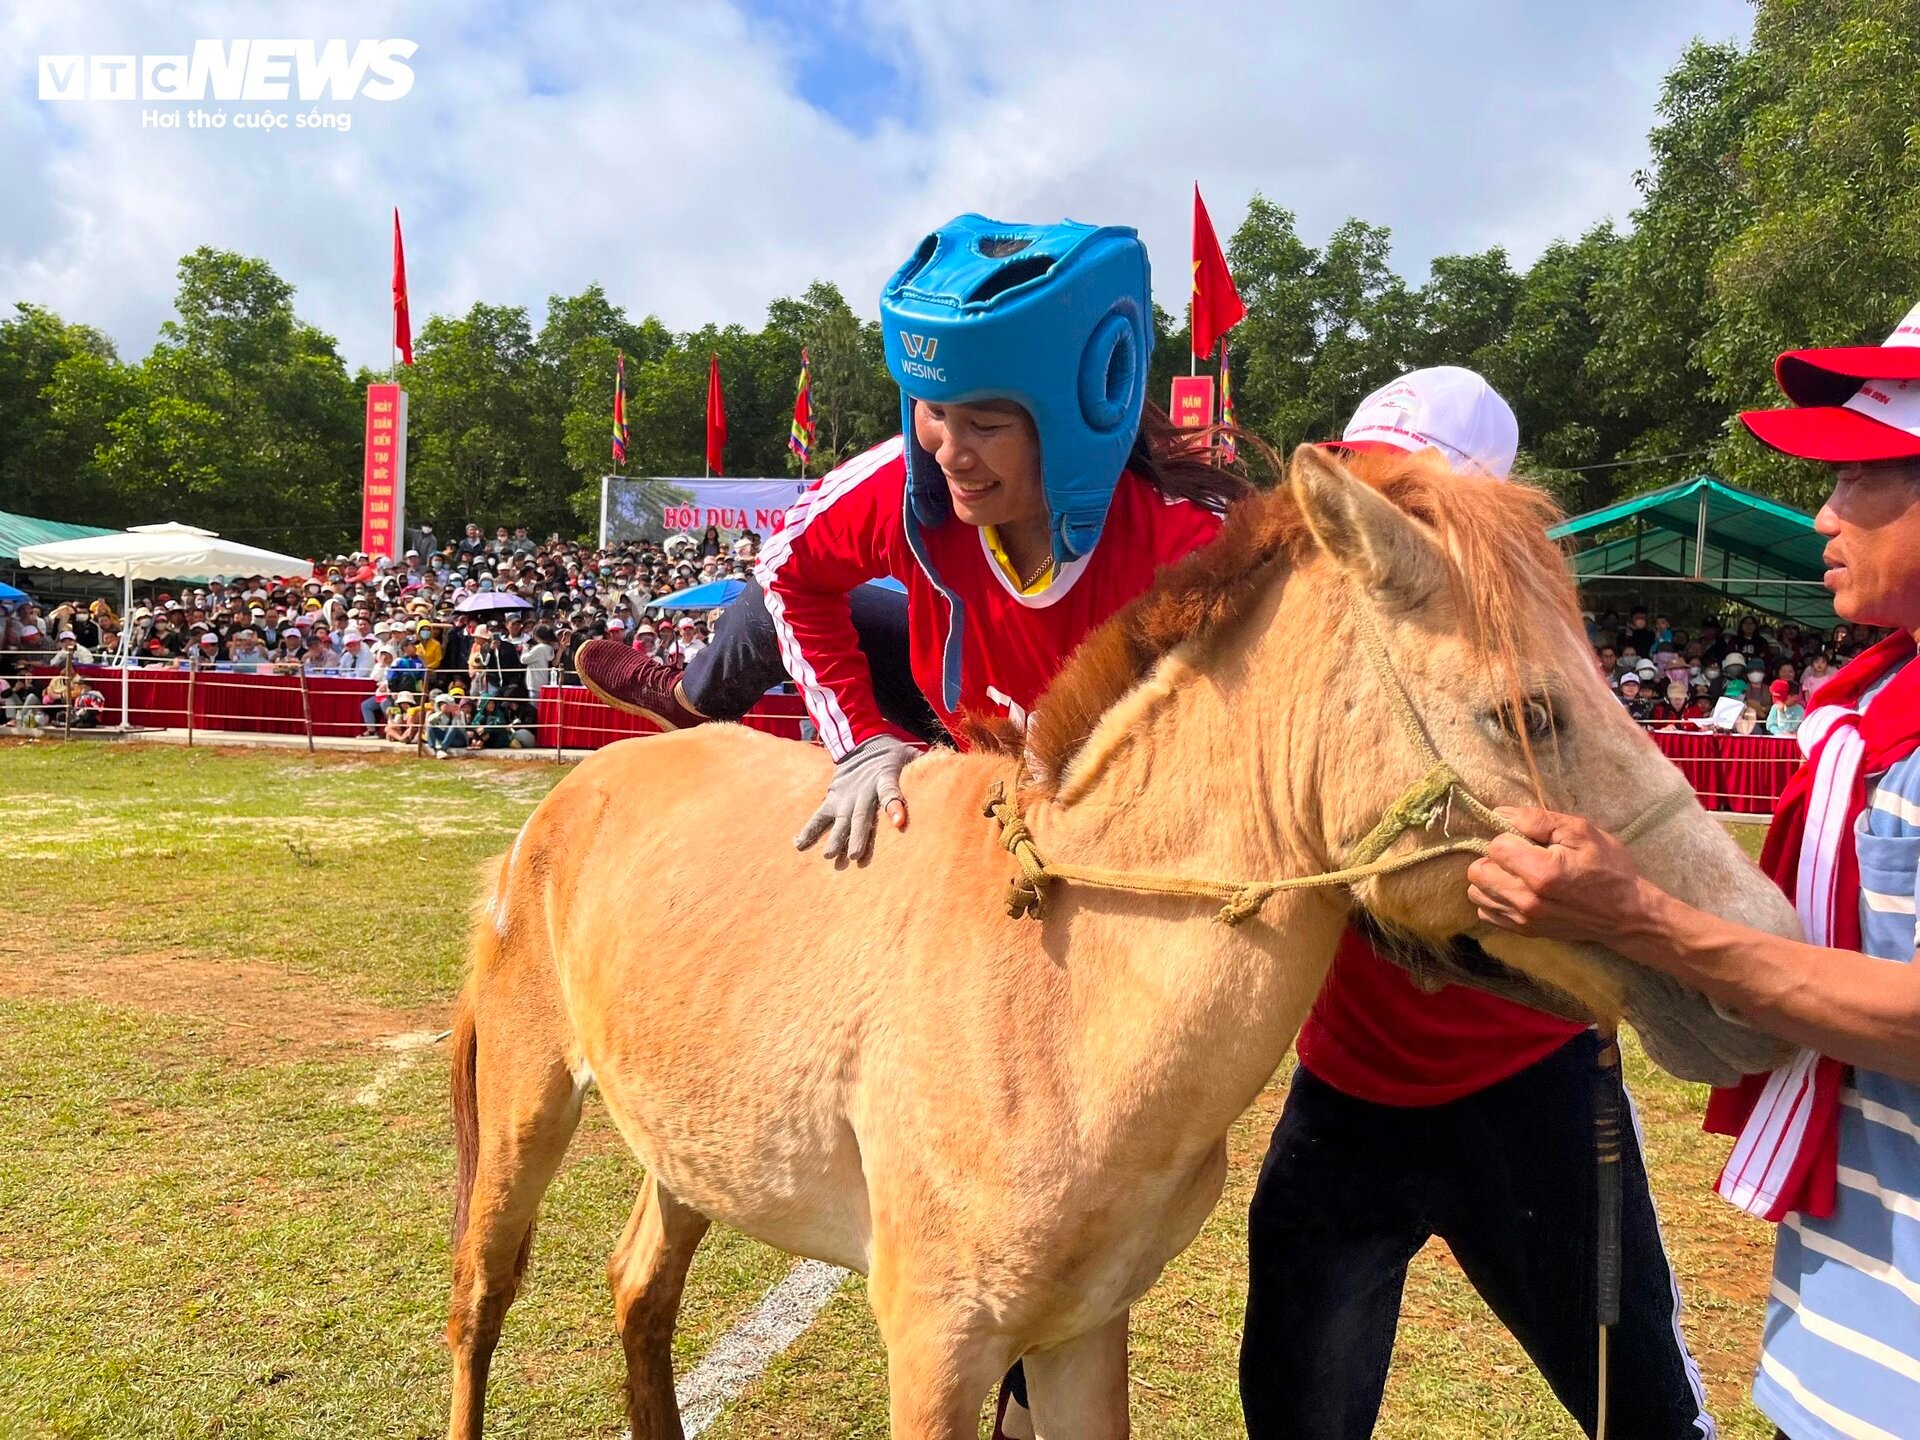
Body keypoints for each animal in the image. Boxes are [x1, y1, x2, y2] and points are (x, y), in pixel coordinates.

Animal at [449, 445, 1797, 1436]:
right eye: (1530, 713)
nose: (1762, 944)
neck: (1062, 990)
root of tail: (576, 797)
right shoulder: (938, 1345)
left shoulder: (1081, 1330)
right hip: (526, 1111)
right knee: (480, 1301)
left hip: (689, 1151)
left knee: (640, 1295)